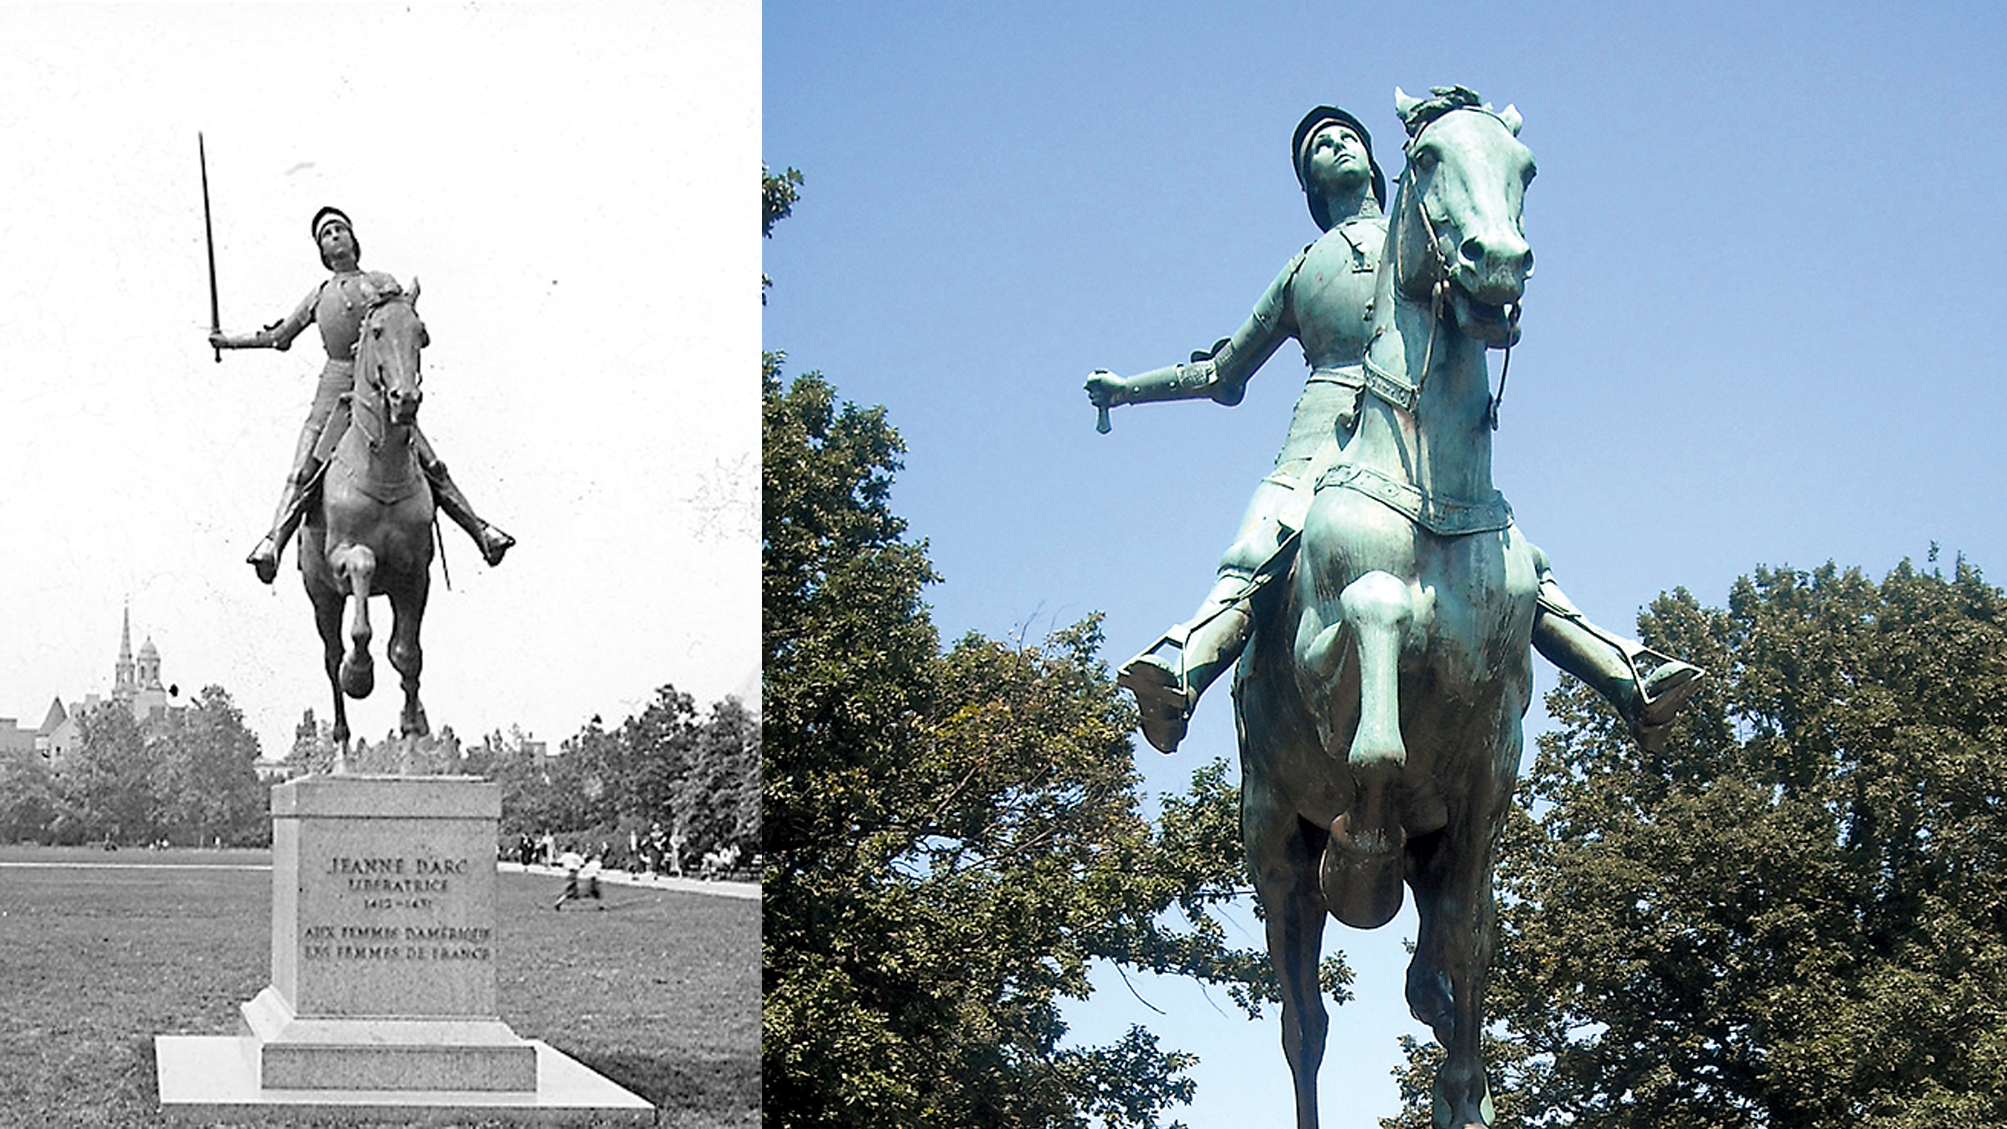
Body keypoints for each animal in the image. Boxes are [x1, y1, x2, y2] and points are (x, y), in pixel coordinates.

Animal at [301, 282, 435, 766]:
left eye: (421, 333)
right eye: (376, 330)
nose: (405, 399)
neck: (384, 469)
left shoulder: (414, 575)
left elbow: (408, 654)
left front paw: (412, 744)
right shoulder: (342, 560)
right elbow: (361, 565)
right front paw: (359, 673)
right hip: (320, 595)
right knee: (329, 655)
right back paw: (341, 748)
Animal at [1236, 90, 1533, 1129]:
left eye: (1524, 167)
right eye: (1430, 156)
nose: (1497, 262)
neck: (1433, 492)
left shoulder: (1490, 764)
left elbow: (1464, 952)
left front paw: (1461, 1088)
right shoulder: (1322, 649)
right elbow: (1373, 648)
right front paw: (1362, 843)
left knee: (1445, 965)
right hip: (1272, 850)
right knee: (1303, 1028)